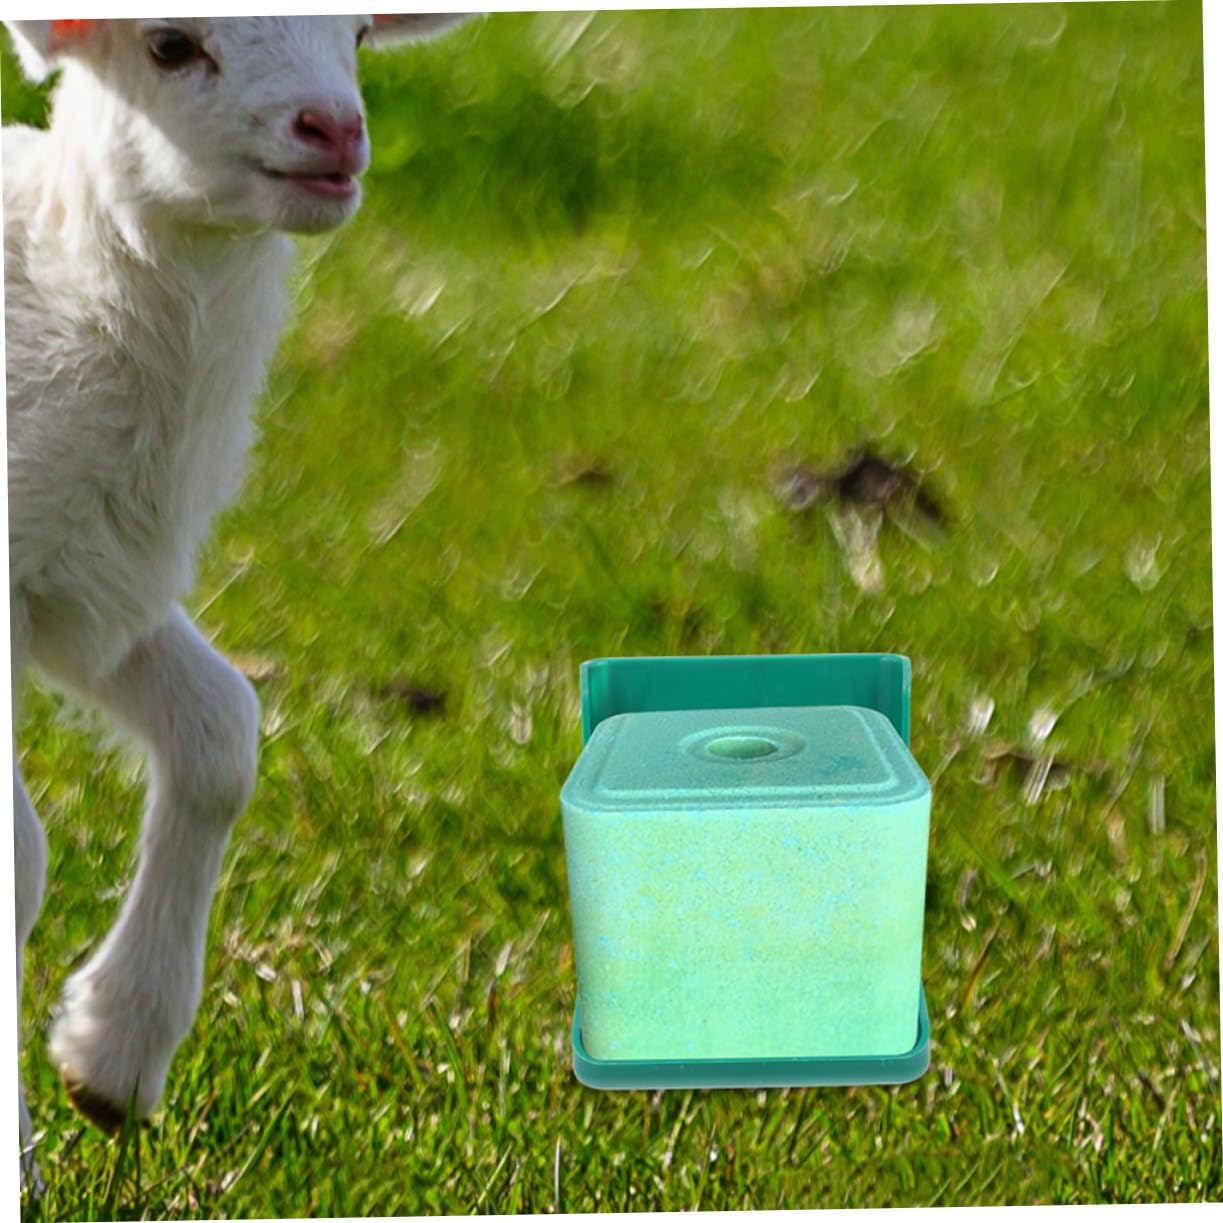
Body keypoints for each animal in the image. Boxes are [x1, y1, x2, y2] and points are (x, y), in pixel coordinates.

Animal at [4, 14, 468, 1178]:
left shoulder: (88, 574)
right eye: (170, 46)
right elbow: (17, 856)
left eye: (357, 33)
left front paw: (112, 1061)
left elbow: (223, 734)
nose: (334, 131)